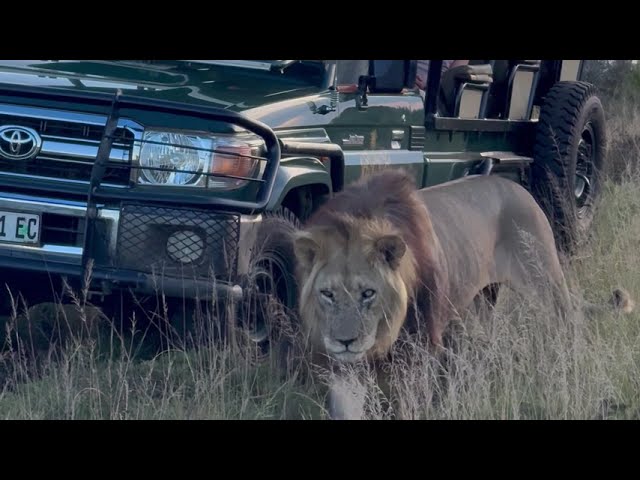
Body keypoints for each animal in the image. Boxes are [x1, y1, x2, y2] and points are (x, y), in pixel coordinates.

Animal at [292, 170, 632, 420]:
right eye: (327, 294)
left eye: (368, 293)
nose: (344, 341)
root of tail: (517, 187)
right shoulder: (344, 370)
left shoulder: (418, 354)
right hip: (482, 302)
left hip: (544, 280)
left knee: (570, 322)